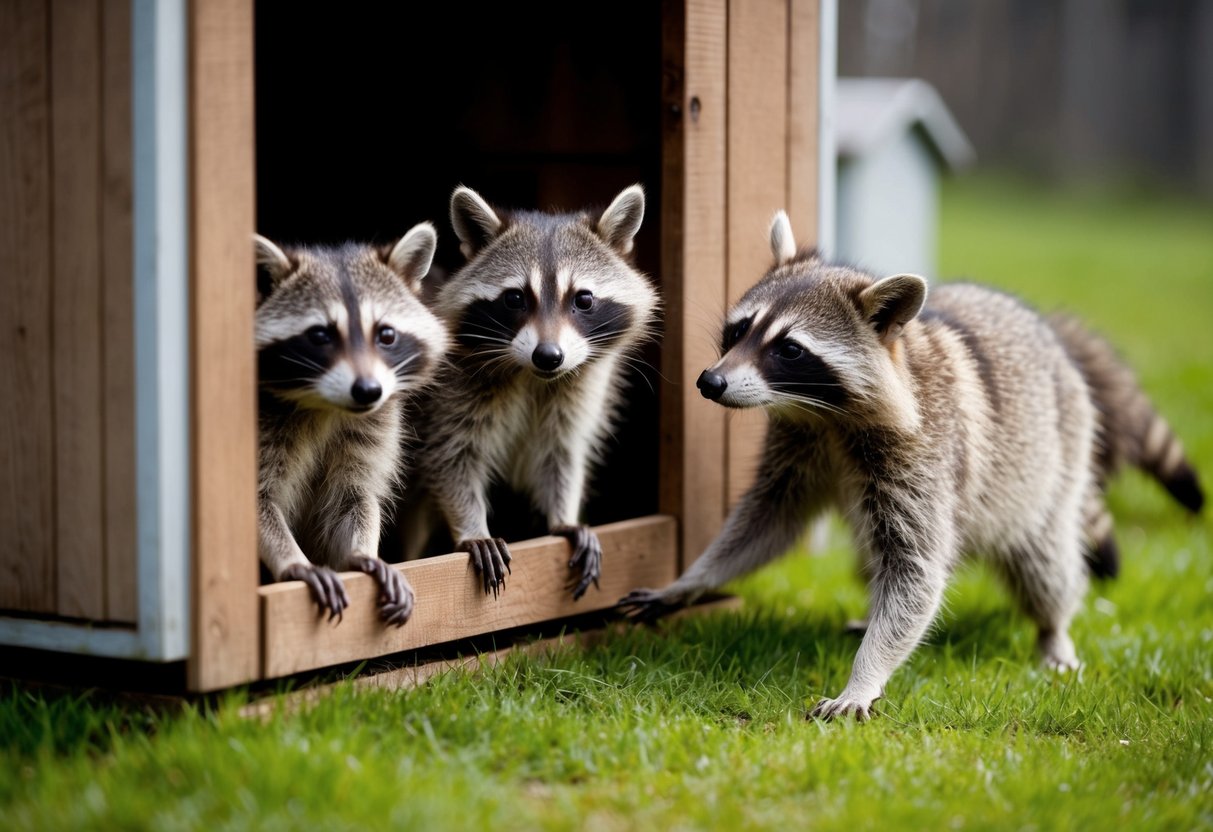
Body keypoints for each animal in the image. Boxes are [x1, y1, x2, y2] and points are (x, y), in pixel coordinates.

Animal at [255, 225, 448, 625]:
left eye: (386, 335)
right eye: (320, 335)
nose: (367, 390)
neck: (327, 406)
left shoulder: (377, 421)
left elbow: (355, 496)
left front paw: (361, 553)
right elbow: (259, 501)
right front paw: (292, 561)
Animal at [401, 185, 660, 599]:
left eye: (583, 299)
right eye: (515, 298)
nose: (549, 356)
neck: (534, 376)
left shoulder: (578, 392)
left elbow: (563, 451)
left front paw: (562, 515)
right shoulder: (447, 395)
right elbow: (450, 458)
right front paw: (472, 527)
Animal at [619, 210, 1203, 720]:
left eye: (789, 349)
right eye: (738, 331)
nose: (710, 381)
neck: (827, 415)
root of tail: (1050, 333)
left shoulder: (924, 453)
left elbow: (915, 571)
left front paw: (864, 677)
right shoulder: (798, 444)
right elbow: (767, 521)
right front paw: (693, 580)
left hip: (1057, 457)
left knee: (1045, 563)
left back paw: (1053, 629)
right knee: (867, 553)